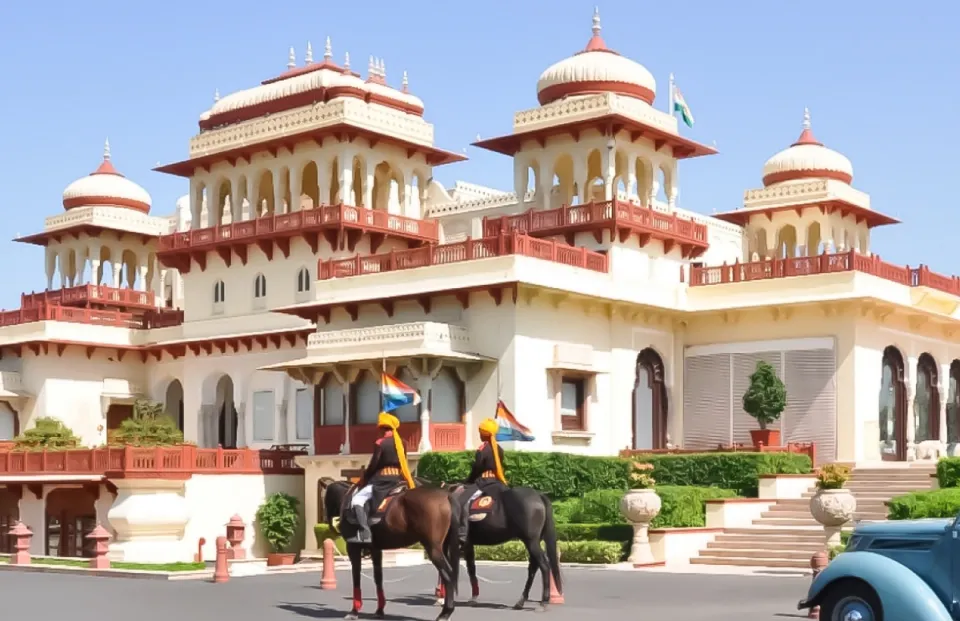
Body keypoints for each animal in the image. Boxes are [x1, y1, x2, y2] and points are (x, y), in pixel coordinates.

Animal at [320, 478, 460, 616]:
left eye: (323, 498)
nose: (329, 524)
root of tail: (446, 495)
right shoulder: (375, 549)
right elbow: (378, 577)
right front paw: (379, 609)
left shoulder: (353, 547)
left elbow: (356, 576)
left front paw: (354, 610)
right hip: (442, 547)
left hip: (433, 548)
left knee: (448, 574)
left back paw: (445, 612)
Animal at [436, 482, 564, 608]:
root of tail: (538, 495)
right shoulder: (467, 544)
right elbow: (470, 568)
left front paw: (443, 598)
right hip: (532, 541)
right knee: (533, 567)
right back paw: (521, 601)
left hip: (531, 541)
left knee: (544, 565)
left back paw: (544, 601)